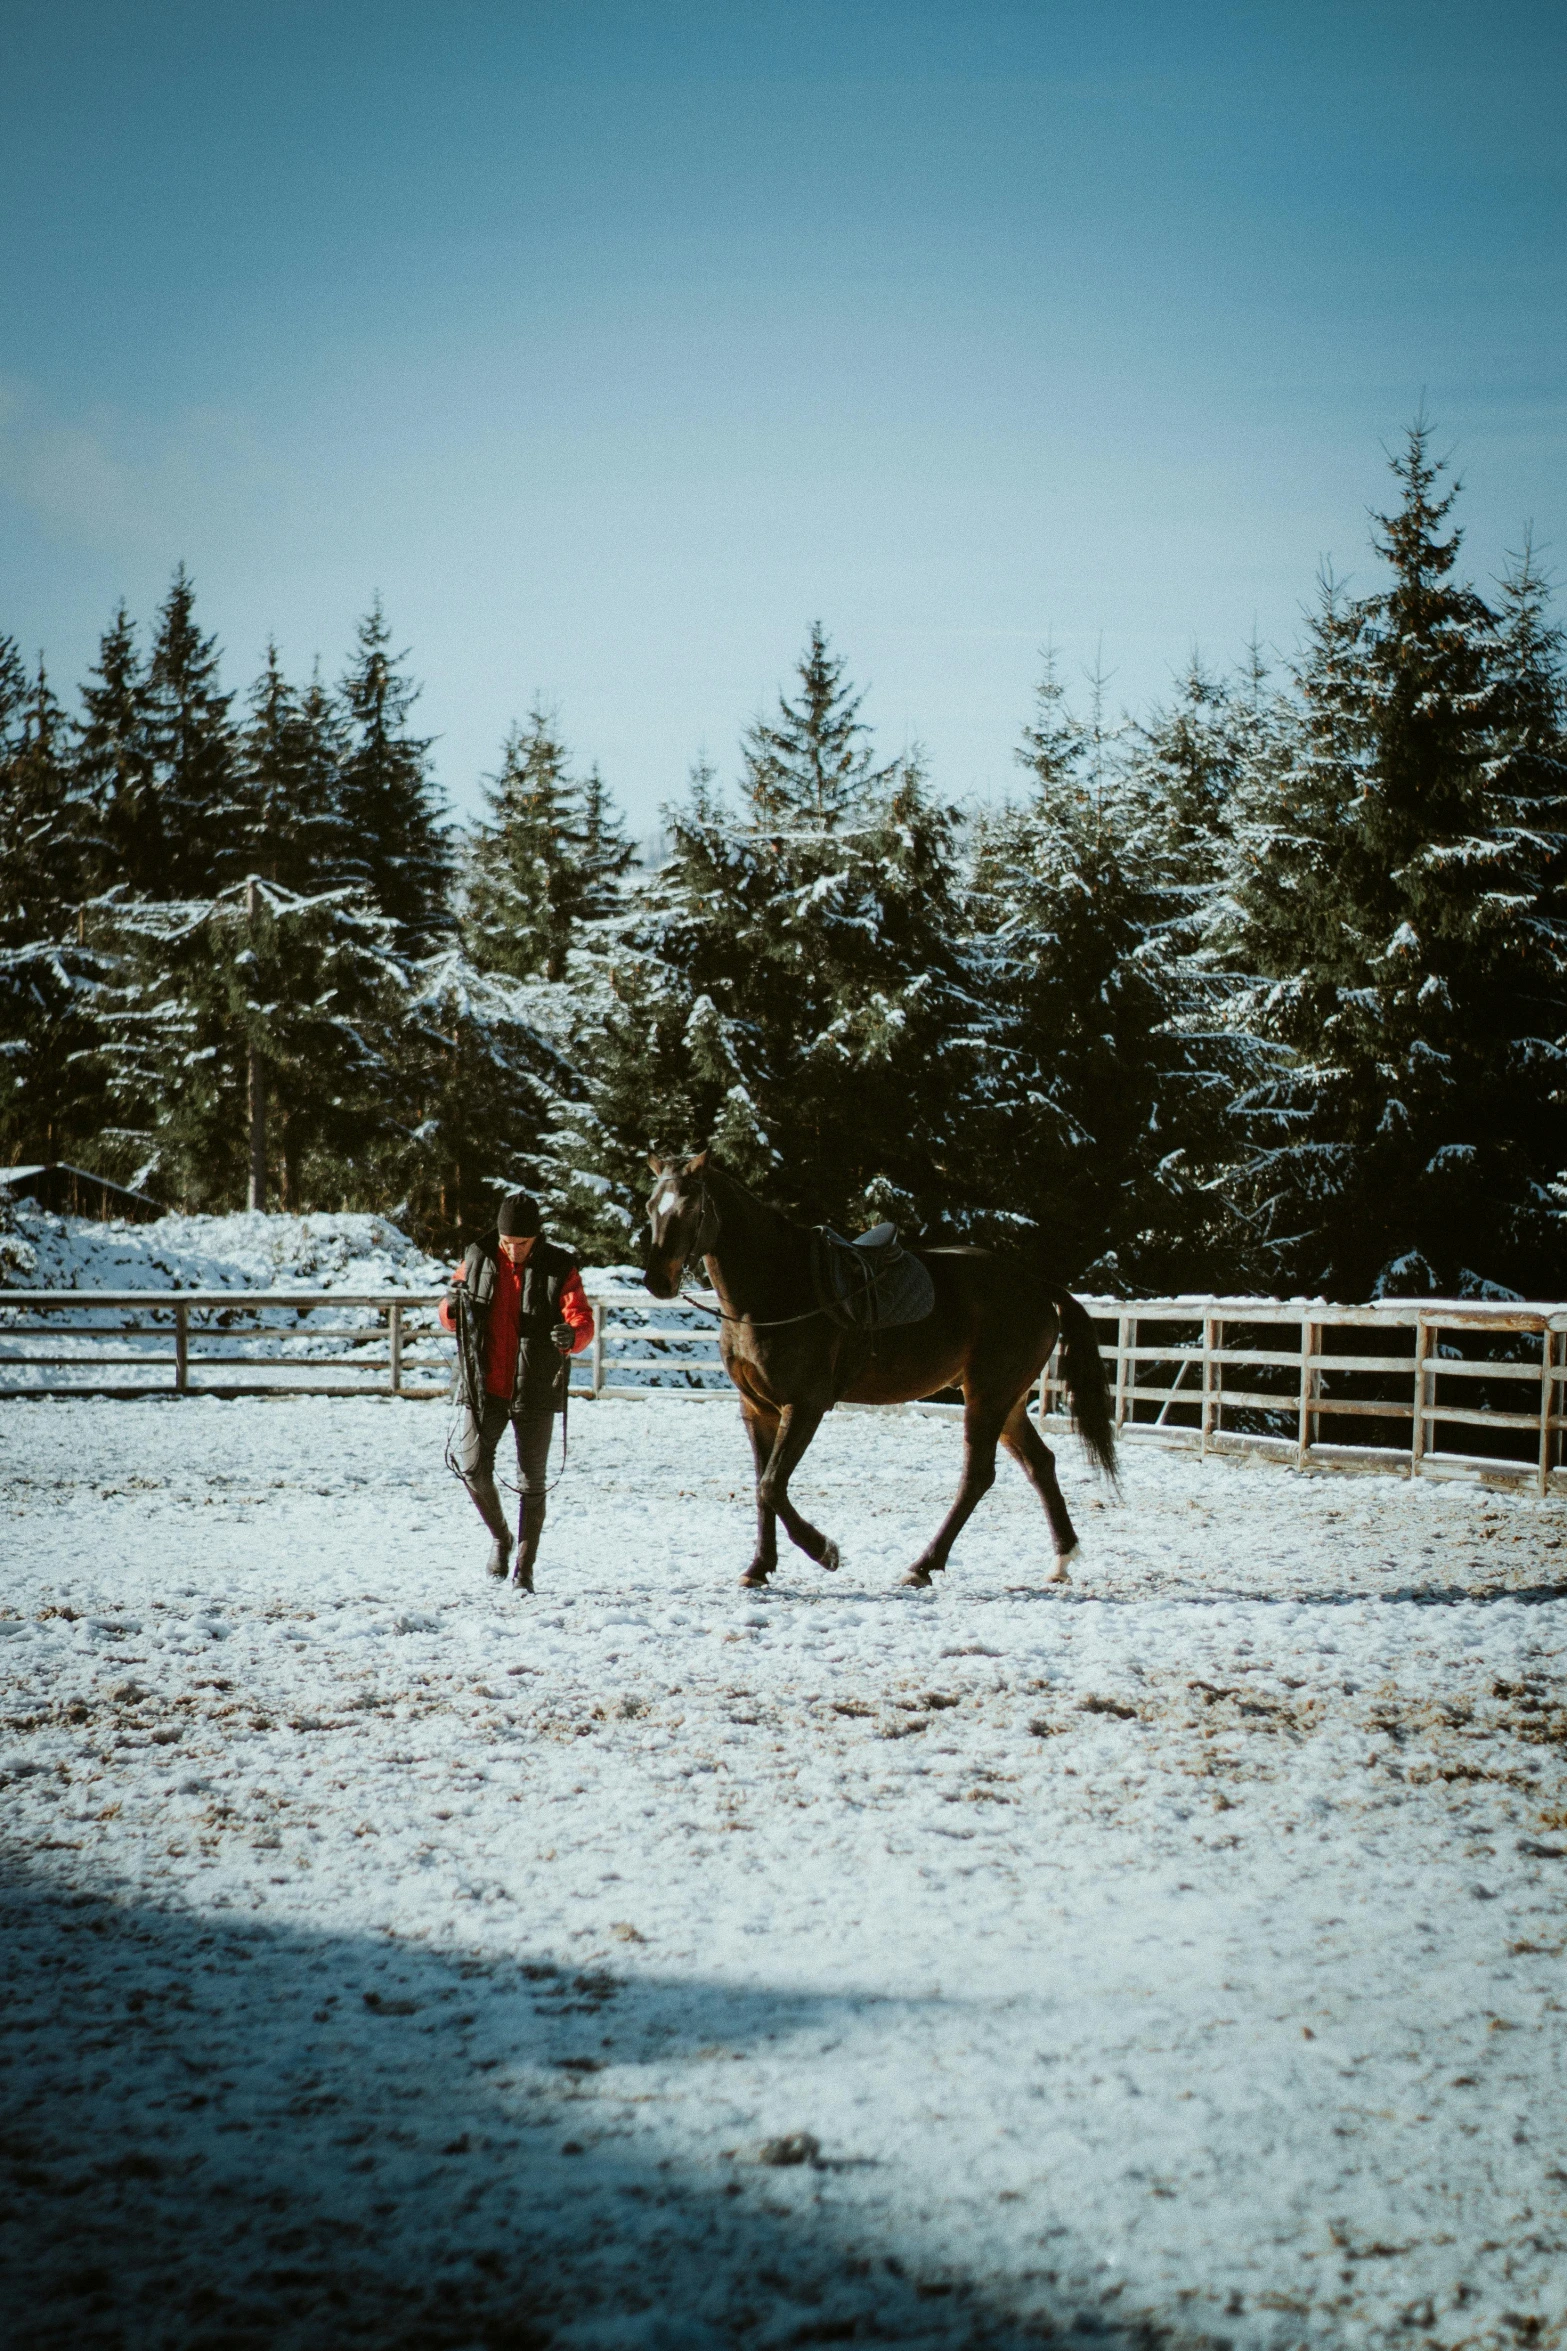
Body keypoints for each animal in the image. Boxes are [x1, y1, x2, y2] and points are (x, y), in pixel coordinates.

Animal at [643, 1151, 1122, 1589]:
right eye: (651, 1206)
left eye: (689, 1208)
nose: (656, 1282)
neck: (777, 1286)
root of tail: (1036, 1284)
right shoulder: (757, 1409)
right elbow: (762, 1488)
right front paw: (759, 1568)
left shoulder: (804, 1406)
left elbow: (772, 1485)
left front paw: (825, 1552)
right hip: (1008, 1401)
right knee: (1040, 1464)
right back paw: (1061, 1560)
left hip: (988, 1397)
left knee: (977, 1477)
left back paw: (923, 1565)